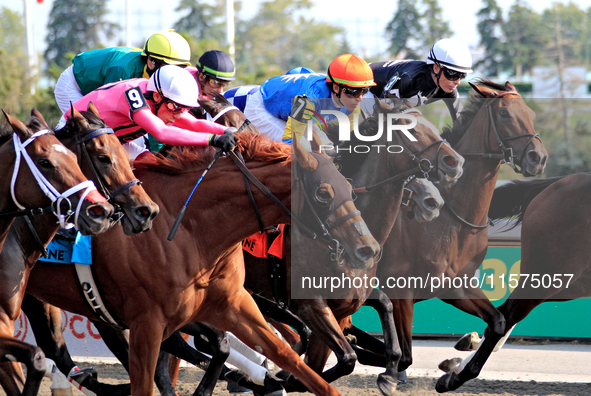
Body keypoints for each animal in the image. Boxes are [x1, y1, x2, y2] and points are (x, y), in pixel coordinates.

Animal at [24, 133, 380, 396]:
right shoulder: (149, 320)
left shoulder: (232, 304)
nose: (368, 248)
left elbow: (294, 353)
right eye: (323, 193)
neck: (190, 227)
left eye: (351, 188)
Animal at [243, 98, 464, 392]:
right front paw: (291, 377)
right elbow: (340, 359)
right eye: (407, 127)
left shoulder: (348, 299)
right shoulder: (308, 303)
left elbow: (389, 327)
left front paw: (389, 376)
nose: (454, 161)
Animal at [356, 79, 552, 388]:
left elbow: (498, 322)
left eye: (531, 114)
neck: (454, 216)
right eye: (505, 114)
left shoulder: (455, 285)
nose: (538, 158)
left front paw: (453, 372)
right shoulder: (401, 288)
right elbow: (405, 353)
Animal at [434, 175, 591, 392]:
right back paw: (459, 374)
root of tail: (565, 180)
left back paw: (459, 361)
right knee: (507, 313)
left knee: (504, 314)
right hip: (553, 271)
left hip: (573, 280)